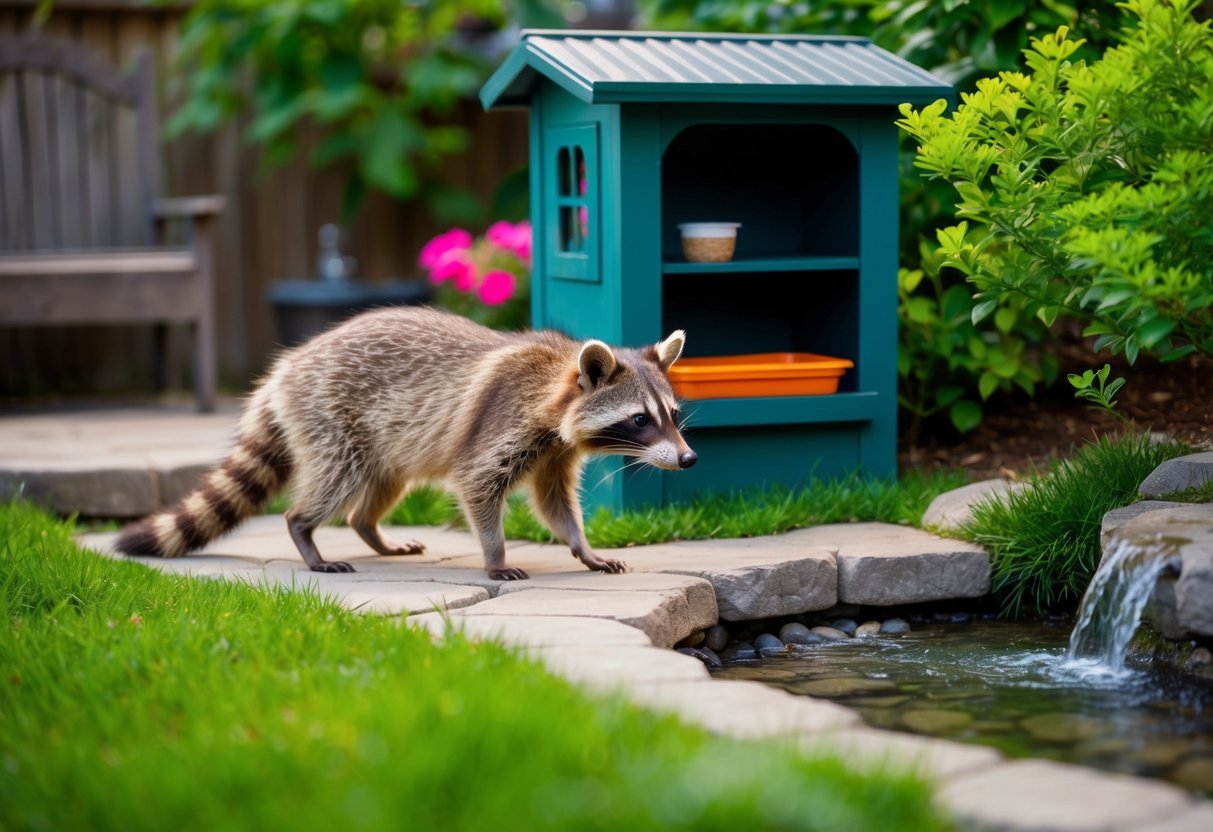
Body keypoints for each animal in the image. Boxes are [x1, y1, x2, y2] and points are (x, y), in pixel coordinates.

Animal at [115, 306, 696, 580]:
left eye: (672, 416)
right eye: (640, 420)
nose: (689, 458)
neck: (558, 382)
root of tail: (284, 371)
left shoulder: (554, 450)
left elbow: (554, 501)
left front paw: (582, 546)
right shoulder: (503, 424)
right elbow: (476, 484)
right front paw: (495, 554)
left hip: (386, 444)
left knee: (377, 492)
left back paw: (370, 530)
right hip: (330, 419)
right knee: (332, 483)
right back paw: (305, 531)